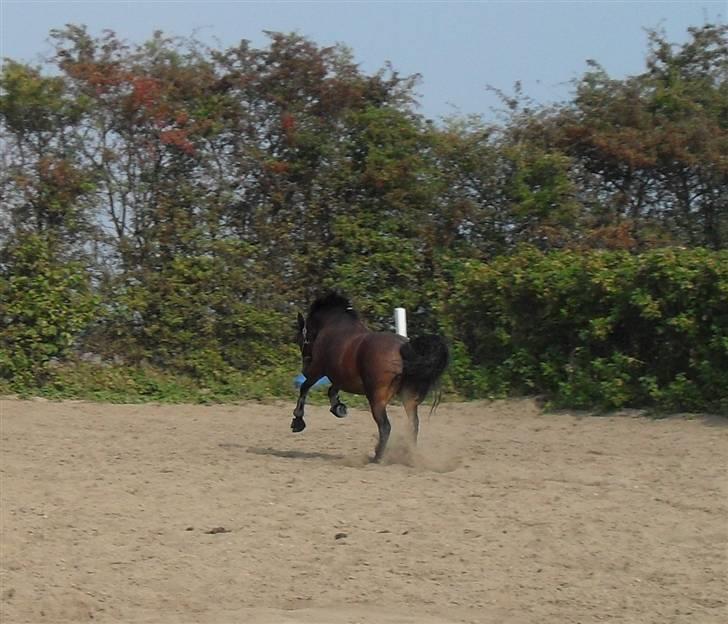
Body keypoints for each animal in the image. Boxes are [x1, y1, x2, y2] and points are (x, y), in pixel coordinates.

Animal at [291, 292, 449, 462]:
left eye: (300, 339)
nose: (304, 369)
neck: (332, 325)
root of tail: (403, 347)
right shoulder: (340, 376)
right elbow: (331, 390)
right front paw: (339, 408)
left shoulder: (318, 370)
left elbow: (304, 388)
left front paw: (298, 421)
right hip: (408, 398)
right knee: (414, 424)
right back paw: (408, 455)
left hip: (376, 399)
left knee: (385, 426)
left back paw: (377, 456)